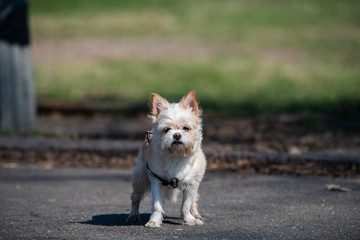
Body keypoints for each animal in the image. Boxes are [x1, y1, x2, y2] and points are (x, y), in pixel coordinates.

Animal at [126, 90, 207, 227]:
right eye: (166, 129)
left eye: (186, 128)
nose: (177, 135)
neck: (176, 156)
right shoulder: (156, 183)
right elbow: (157, 206)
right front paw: (154, 220)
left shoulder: (192, 185)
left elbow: (186, 205)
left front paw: (189, 219)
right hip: (140, 180)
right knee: (135, 198)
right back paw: (133, 215)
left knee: (194, 200)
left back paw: (196, 215)